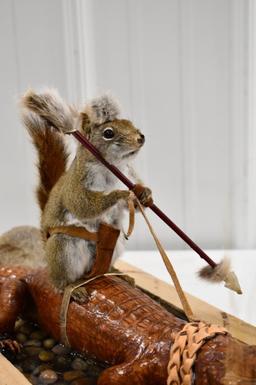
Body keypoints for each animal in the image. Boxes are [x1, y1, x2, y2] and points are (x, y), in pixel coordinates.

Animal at [21, 89, 152, 292]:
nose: (141, 138)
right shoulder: (77, 185)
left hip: (116, 245)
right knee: (61, 279)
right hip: (63, 249)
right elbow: (83, 205)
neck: (113, 167)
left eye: (130, 124)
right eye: (108, 133)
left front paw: (144, 193)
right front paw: (118, 194)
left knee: (103, 269)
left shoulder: (129, 175)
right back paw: (72, 288)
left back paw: (117, 273)